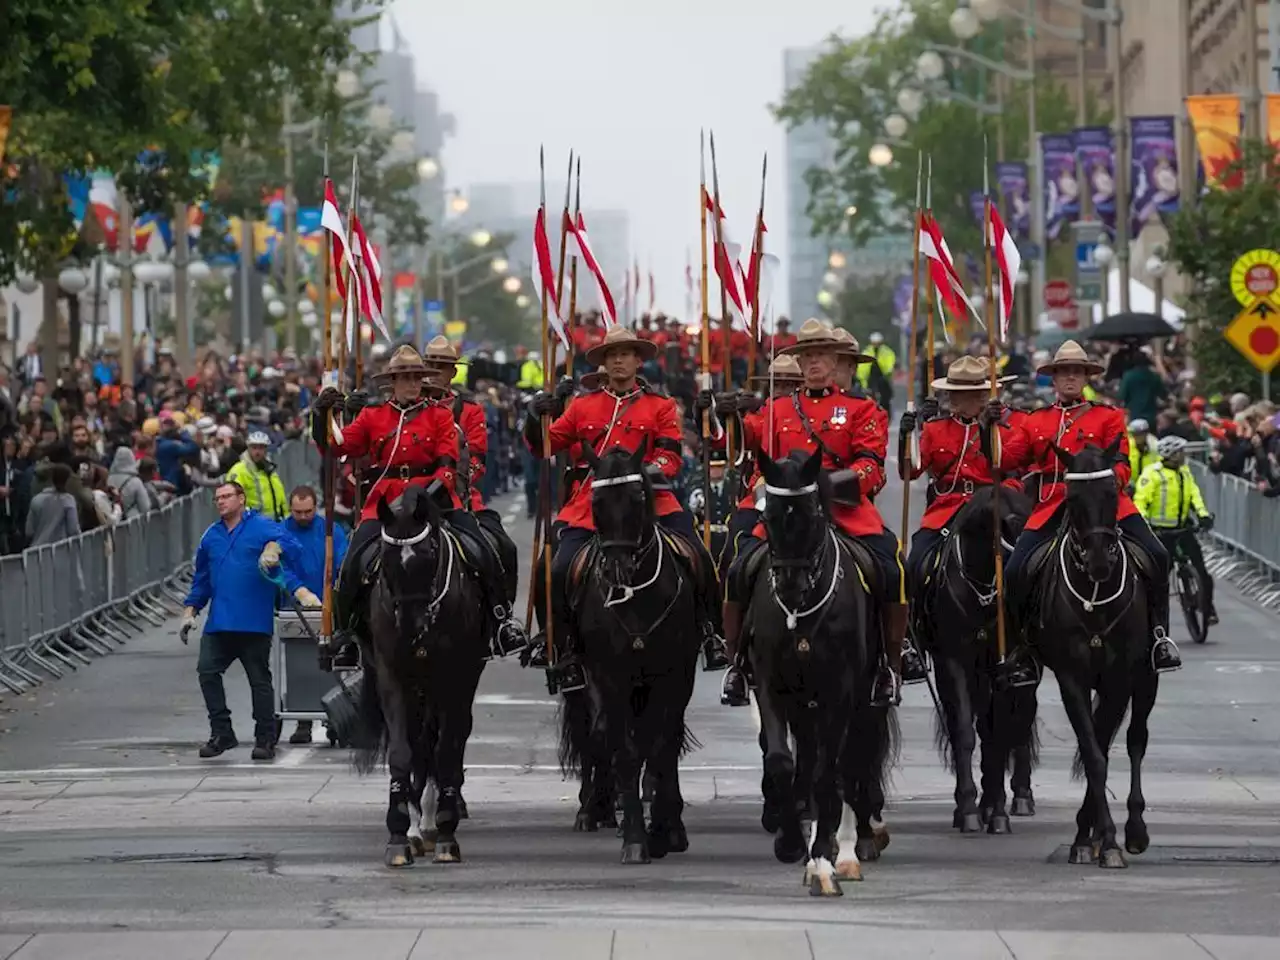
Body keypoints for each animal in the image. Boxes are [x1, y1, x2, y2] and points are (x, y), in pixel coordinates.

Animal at [355, 488, 488, 870]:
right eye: (386, 559)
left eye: (429, 554)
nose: (411, 628)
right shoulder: (391, 676)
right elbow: (404, 752)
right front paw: (401, 835)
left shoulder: (454, 679)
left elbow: (444, 751)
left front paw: (444, 833)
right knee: (419, 745)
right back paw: (418, 825)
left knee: (442, 742)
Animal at [558, 448, 701, 870]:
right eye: (595, 501)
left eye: (638, 498)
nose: (618, 569)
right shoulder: (609, 677)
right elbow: (624, 751)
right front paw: (637, 838)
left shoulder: (674, 675)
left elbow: (661, 746)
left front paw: (666, 831)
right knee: (594, 735)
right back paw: (594, 809)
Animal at [747, 450, 896, 896]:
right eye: (768, 517)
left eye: (813, 515)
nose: (790, 585)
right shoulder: (771, 686)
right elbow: (783, 762)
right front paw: (793, 844)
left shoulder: (840, 693)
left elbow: (829, 774)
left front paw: (825, 862)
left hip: (866, 700)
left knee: (851, 764)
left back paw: (850, 846)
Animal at [911, 488, 1039, 834]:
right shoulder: (953, 662)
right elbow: (965, 734)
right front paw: (969, 808)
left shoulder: (1003, 668)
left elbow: (999, 735)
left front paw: (996, 812)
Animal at [1029, 442, 1162, 870]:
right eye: (1071, 498)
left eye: (1112, 493)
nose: (1101, 561)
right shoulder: (1072, 679)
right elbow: (1093, 755)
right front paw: (1089, 839)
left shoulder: (1121, 677)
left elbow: (1105, 747)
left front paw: (1111, 839)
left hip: (1147, 678)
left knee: (1136, 740)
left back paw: (1135, 830)